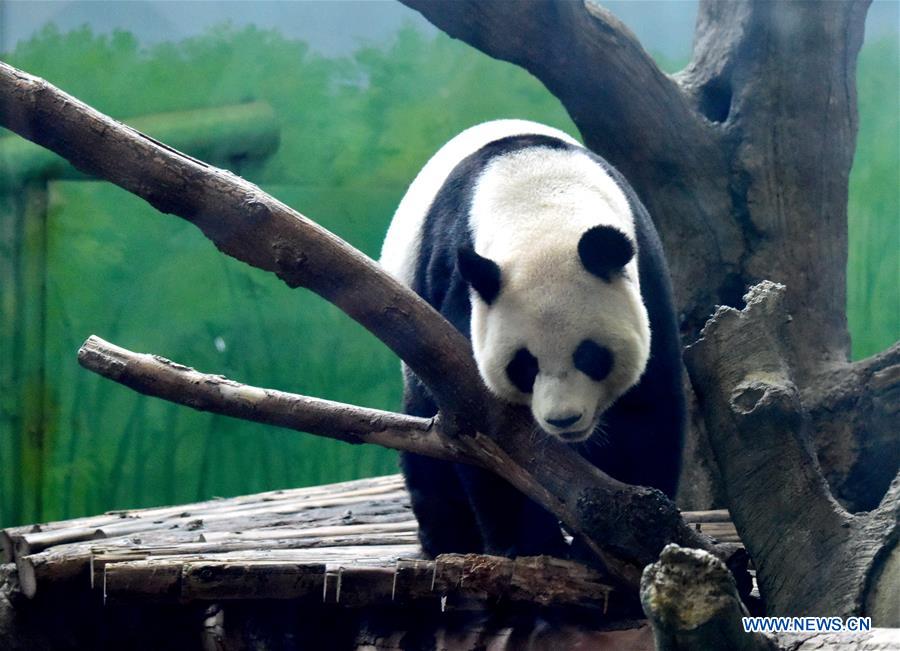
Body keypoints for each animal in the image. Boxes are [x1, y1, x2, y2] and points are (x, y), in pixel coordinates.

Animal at [380, 119, 686, 559]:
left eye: (591, 356)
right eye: (524, 366)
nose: (564, 420)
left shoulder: (644, 273)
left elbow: (646, 410)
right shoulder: (459, 288)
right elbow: (485, 428)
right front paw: (530, 546)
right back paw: (447, 539)